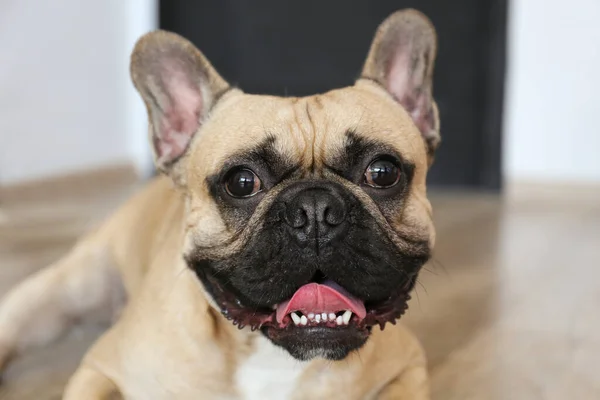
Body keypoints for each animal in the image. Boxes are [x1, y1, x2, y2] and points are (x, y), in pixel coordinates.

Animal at [0, 9, 440, 400]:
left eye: (382, 173)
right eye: (241, 182)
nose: (315, 210)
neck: (271, 356)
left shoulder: (410, 368)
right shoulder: (101, 369)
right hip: (59, 297)